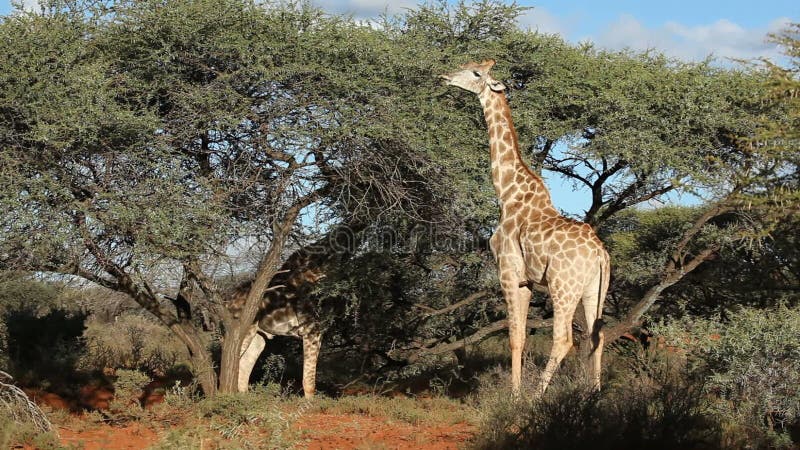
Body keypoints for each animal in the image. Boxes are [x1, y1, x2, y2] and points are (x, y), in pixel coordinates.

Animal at [440, 60, 608, 398]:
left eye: (476, 73)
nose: (446, 76)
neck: (506, 193)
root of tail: (600, 254)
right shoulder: (527, 281)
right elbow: (521, 337)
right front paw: (516, 390)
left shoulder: (508, 272)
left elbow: (514, 336)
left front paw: (514, 395)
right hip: (594, 289)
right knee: (597, 336)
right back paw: (593, 395)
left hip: (563, 286)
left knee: (564, 339)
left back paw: (538, 396)